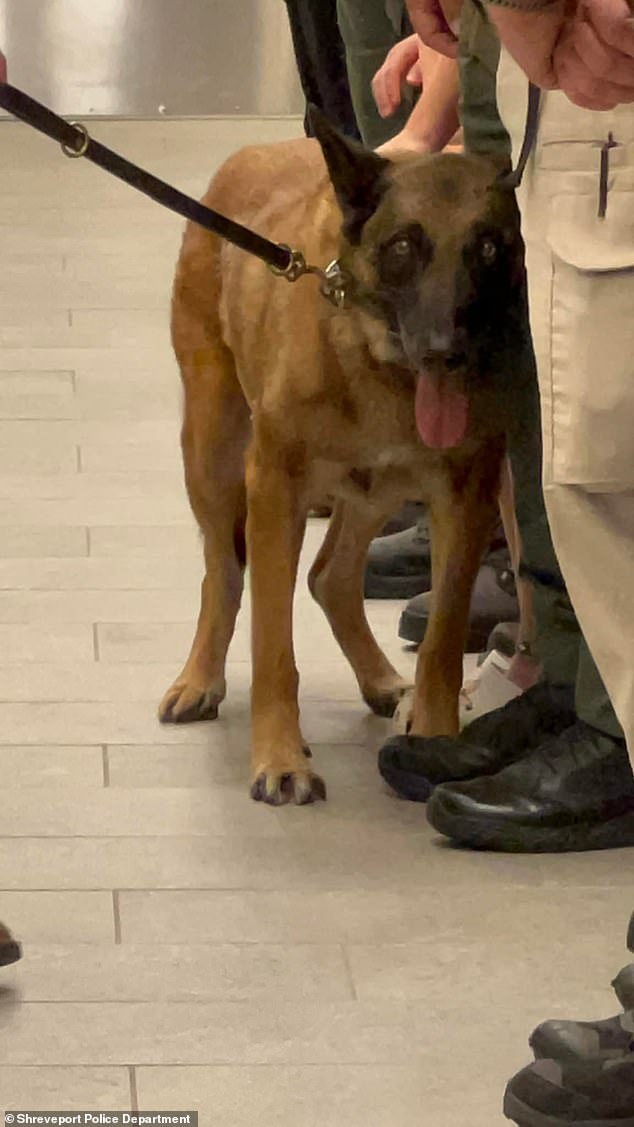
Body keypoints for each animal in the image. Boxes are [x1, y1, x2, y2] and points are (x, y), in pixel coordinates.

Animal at [158, 112, 527, 802]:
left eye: (489, 249)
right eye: (404, 246)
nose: (445, 353)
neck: (378, 364)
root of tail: (258, 150)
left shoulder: (467, 497)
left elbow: (441, 640)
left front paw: (433, 739)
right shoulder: (275, 490)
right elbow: (274, 648)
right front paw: (280, 757)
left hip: (376, 488)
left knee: (330, 576)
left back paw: (382, 679)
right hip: (213, 453)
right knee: (223, 571)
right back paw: (200, 678)